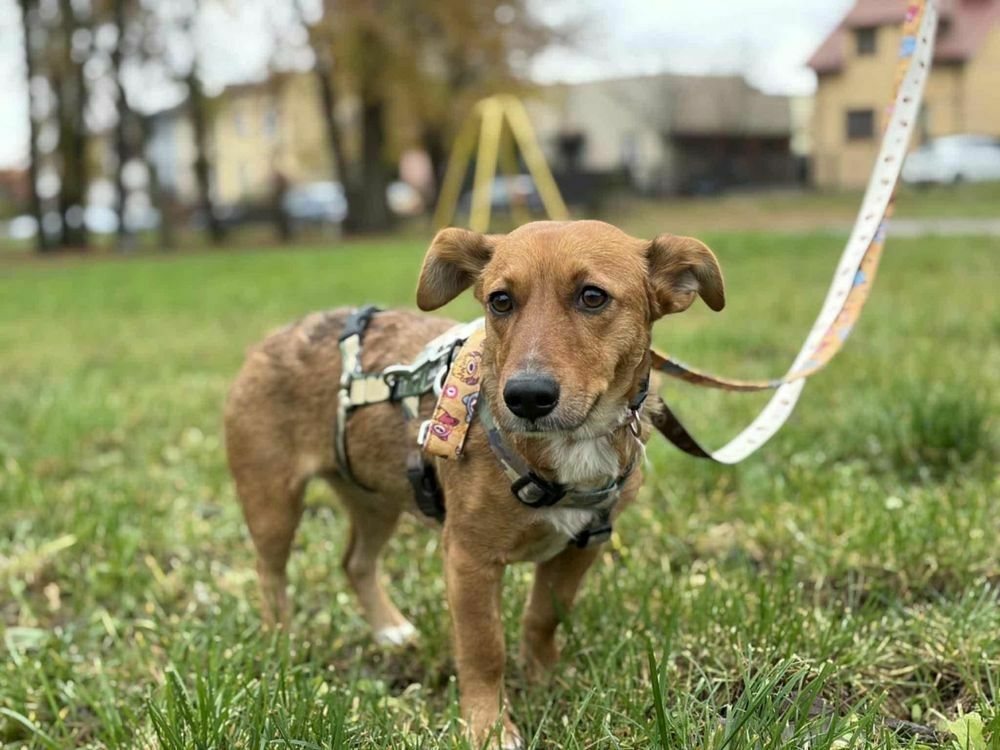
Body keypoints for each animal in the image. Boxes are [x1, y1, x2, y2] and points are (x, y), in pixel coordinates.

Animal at [224, 220, 725, 747]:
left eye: (593, 296)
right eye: (500, 301)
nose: (526, 397)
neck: (568, 447)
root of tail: (273, 339)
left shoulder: (583, 546)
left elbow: (543, 617)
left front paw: (543, 678)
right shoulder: (469, 558)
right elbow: (484, 649)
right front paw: (489, 727)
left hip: (376, 498)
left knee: (355, 562)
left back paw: (389, 631)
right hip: (273, 504)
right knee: (270, 574)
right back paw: (280, 644)